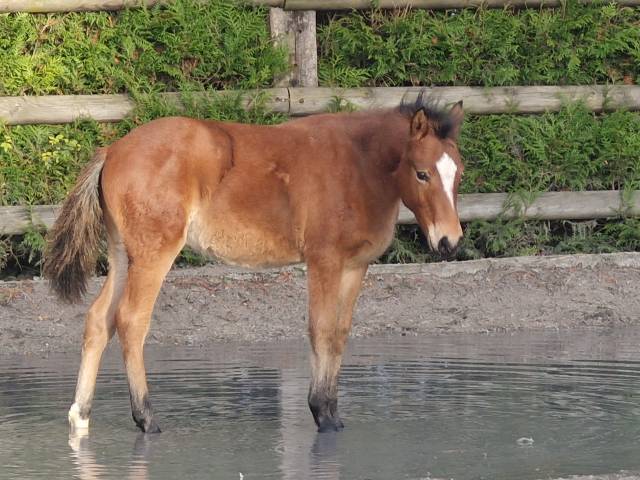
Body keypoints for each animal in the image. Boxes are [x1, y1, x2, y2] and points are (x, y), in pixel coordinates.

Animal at [45, 95, 464, 434]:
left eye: (458, 173)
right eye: (422, 173)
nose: (449, 241)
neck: (359, 165)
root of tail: (113, 149)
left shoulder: (354, 266)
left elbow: (340, 333)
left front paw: (333, 413)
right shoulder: (324, 261)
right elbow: (321, 330)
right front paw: (321, 413)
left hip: (121, 253)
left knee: (99, 319)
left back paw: (80, 414)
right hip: (153, 254)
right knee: (131, 321)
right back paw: (146, 418)